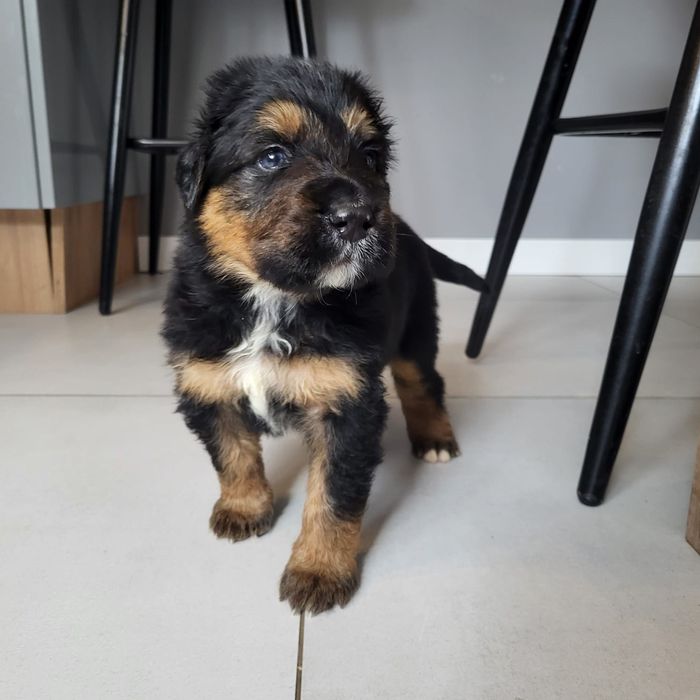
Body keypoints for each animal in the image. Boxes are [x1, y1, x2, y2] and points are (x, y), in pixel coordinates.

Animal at [162, 57, 484, 615]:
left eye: (371, 156)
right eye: (272, 155)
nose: (356, 217)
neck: (272, 300)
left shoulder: (348, 403)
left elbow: (333, 496)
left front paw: (317, 572)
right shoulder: (206, 382)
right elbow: (232, 454)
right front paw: (244, 509)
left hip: (415, 328)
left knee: (424, 382)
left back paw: (435, 437)